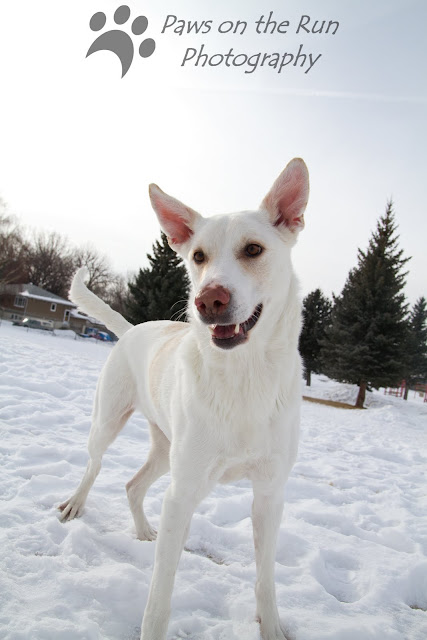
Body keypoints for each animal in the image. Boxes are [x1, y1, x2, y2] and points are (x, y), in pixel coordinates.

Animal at [59, 158, 309, 640]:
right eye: (198, 257)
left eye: (253, 250)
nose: (208, 300)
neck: (243, 376)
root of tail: (132, 328)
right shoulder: (183, 493)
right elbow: (159, 597)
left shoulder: (270, 494)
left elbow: (265, 579)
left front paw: (271, 627)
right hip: (110, 422)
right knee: (94, 465)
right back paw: (76, 503)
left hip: (167, 451)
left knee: (133, 485)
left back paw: (142, 532)